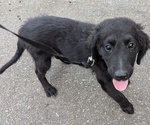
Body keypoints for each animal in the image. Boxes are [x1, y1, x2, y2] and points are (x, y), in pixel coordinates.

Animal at [0, 15, 149, 114]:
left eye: (131, 45)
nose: (121, 76)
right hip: (42, 58)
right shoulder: (104, 80)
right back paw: (48, 88)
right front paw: (127, 106)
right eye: (107, 47)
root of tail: (21, 30)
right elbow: (118, 95)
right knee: (39, 73)